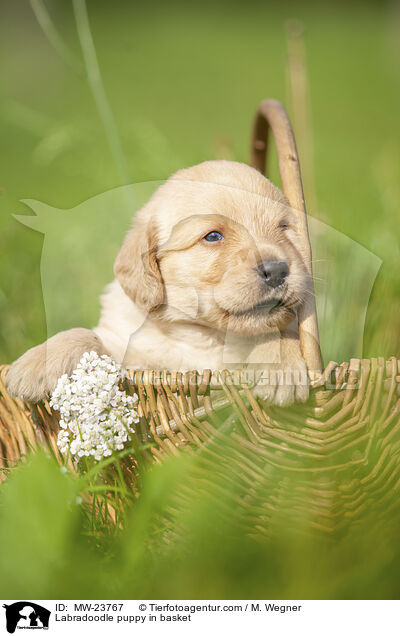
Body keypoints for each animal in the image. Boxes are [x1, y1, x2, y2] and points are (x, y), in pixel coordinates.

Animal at [7, 161, 312, 404]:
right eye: (213, 236)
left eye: (284, 227)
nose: (277, 270)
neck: (202, 334)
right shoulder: (129, 352)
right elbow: (86, 335)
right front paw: (36, 363)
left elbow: (281, 331)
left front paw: (279, 367)